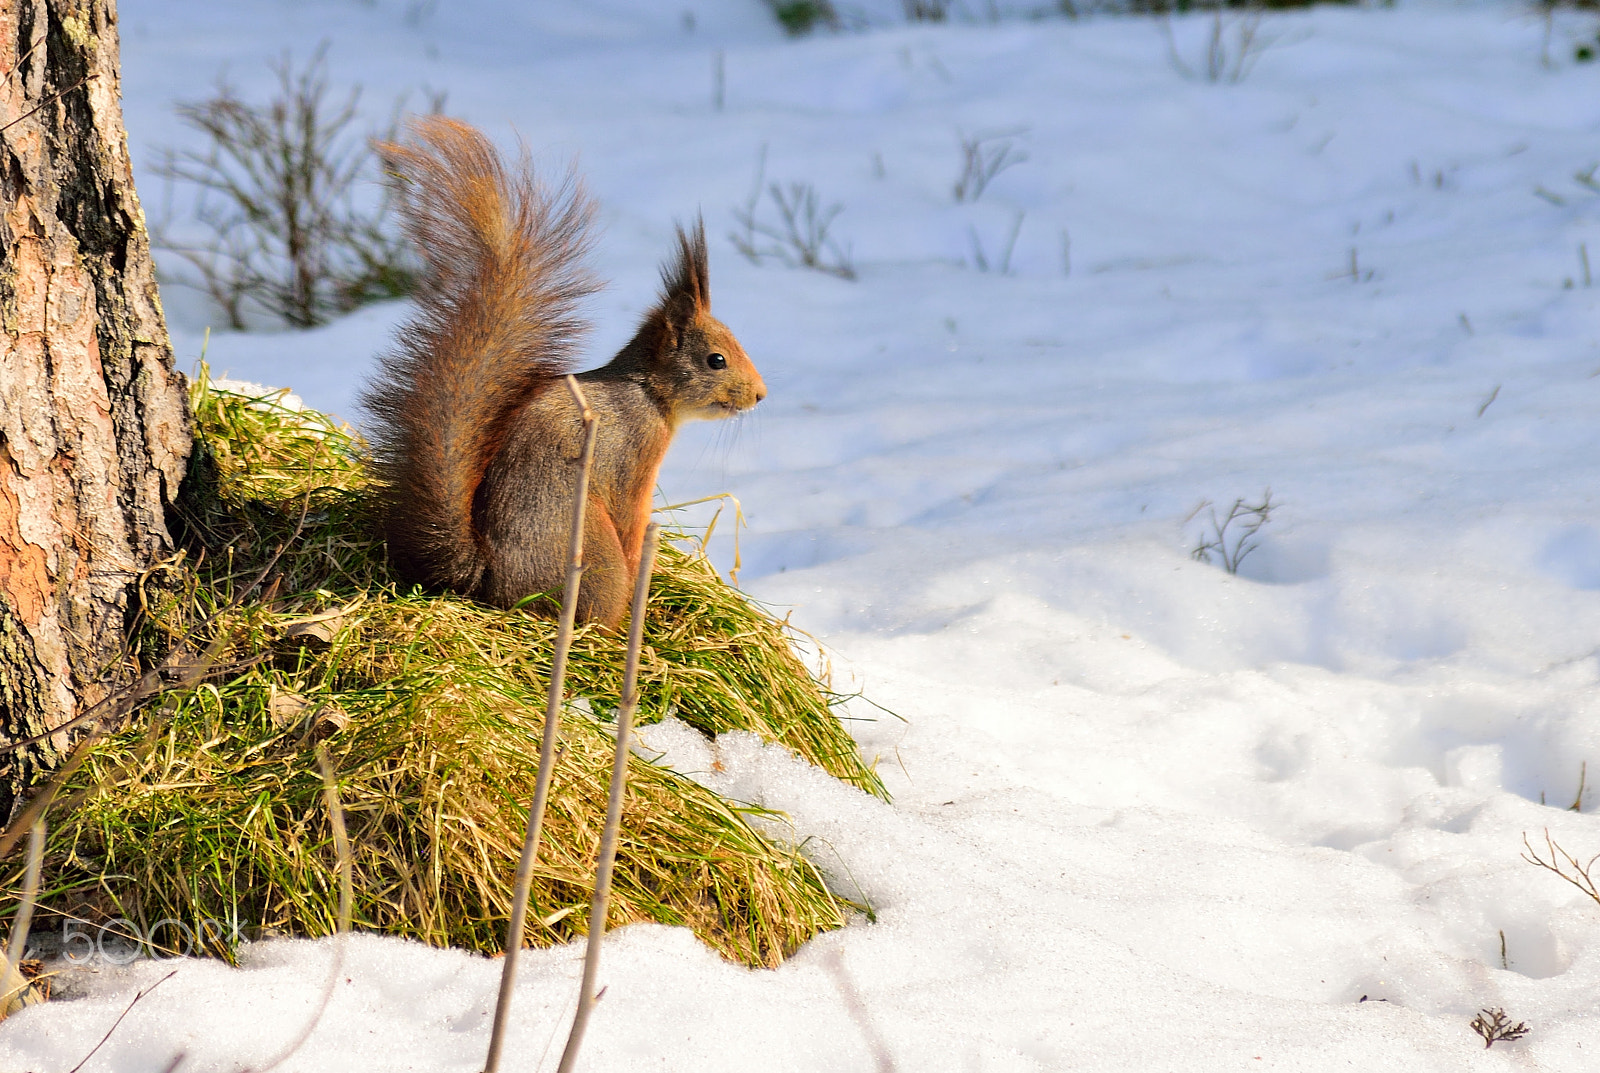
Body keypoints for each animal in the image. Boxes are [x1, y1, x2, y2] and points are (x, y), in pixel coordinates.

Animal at [360, 117, 766, 627]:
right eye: (716, 359)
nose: (760, 395)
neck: (648, 394)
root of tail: (492, 584)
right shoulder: (633, 457)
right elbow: (632, 521)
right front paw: (645, 579)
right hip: (593, 552)